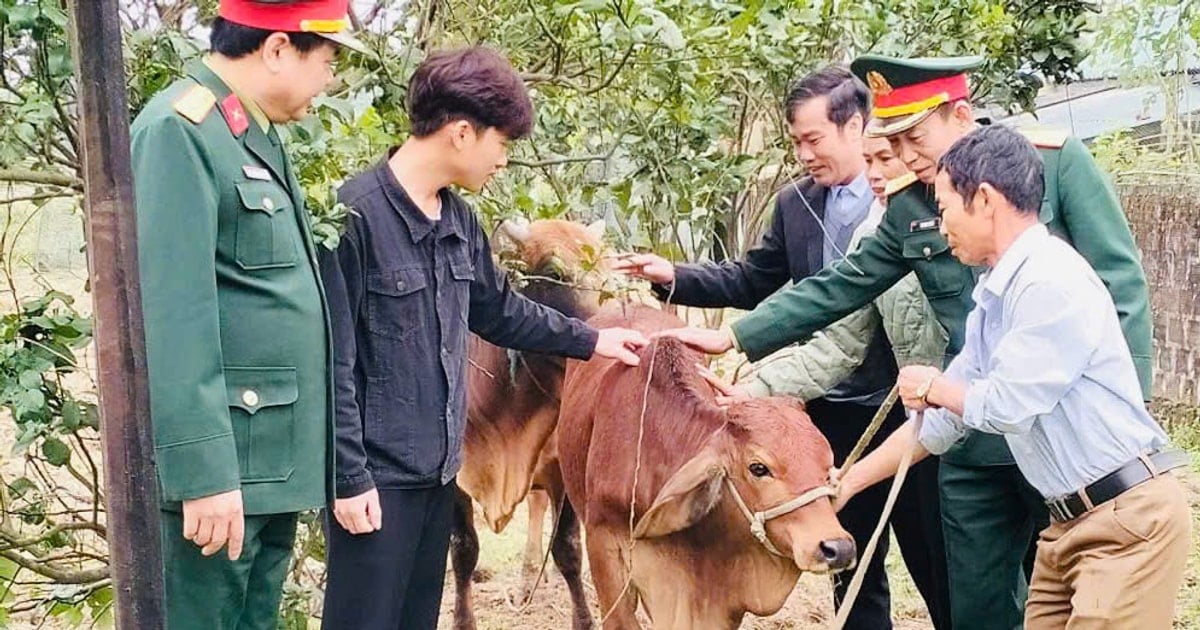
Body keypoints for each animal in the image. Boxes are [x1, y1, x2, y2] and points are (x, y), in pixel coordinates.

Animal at [453, 217, 614, 628]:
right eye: (554, 273)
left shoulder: (564, 469)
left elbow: (568, 549)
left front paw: (584, 619)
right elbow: (464, 551)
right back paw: (528, 582)